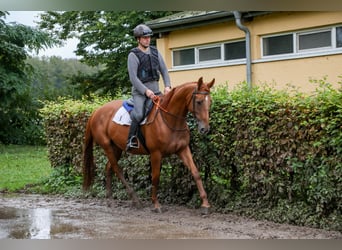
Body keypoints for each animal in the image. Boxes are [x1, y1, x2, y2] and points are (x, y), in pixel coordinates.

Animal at [82, 76, 214, 215]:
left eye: (210, 102)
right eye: (199, 102)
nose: (205, 129)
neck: (170, 119)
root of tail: (97, 111)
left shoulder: (183, 149)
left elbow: (195, 172)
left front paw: (205, 204)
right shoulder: (156, 153)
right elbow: (155, 177)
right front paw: (156, 204)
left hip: (116, 148)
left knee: (109, 168)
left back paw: (110, 199)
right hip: (107, 146)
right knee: (117, 169)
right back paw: (135, 200)